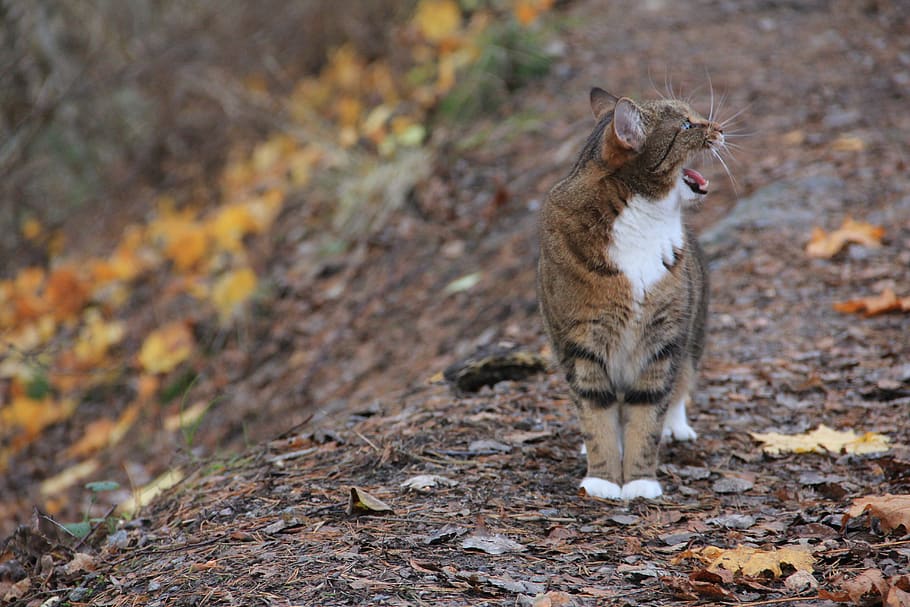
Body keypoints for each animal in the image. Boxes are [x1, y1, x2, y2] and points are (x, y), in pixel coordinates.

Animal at [536, 88, 724, 502]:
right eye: (686, 125)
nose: (719, 127)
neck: (642, 219)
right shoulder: (580, 343)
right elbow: (597, 416)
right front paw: (603, 480)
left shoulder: (663, 340)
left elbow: (648, 413)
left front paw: (639, 482)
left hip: (695, 329)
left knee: (681, 384)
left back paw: (676, 427)